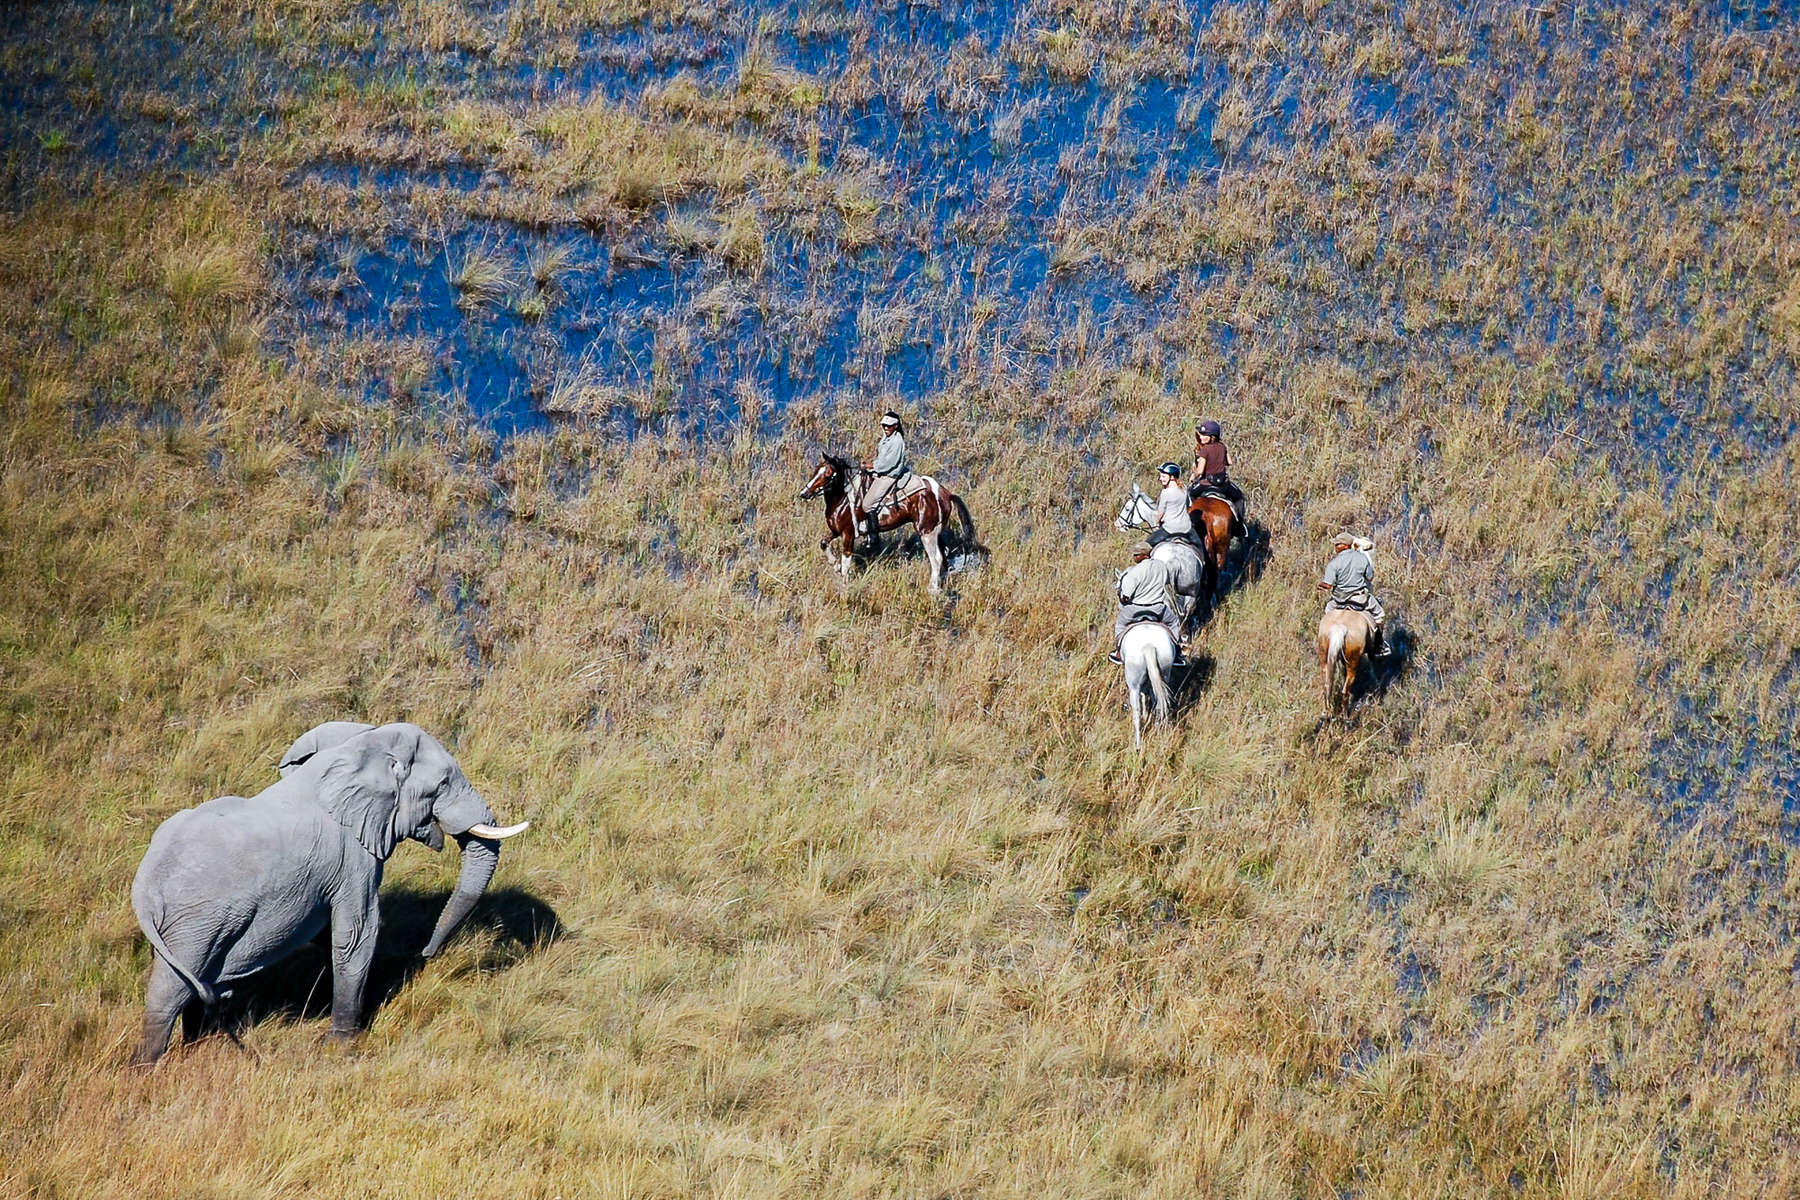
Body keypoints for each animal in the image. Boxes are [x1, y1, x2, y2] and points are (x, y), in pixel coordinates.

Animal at [131, 719, 525, 1065]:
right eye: (442, 783)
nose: (427, 953)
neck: (359, 745)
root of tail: (144, 883)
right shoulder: (352, 858)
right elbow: (356, 933)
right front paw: (344, 1043)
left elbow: (328, 935)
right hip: (197, 921)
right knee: (170, 992)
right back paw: (147, 1069)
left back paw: (194, 1048)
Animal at [799, 453, 986, 593]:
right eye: (816, 469)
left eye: (828, 475)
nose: (804, 494)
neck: (843, 501)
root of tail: (945, 494)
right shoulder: (835, 531)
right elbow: (823, 543)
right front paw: (835, 564)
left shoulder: (848, 534)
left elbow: (846, 561)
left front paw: (843, 583)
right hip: (936, 532)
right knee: (944, 558)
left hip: (927, 533)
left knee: (937, 559)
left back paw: (932, 589)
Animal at [1116, 618, 1173, 752]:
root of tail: (1149, 646)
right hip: (1164, 674)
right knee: (1159, 706)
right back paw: (1157, 732)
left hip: (1133, 686)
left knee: (1136, 711)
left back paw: (1138, 746)